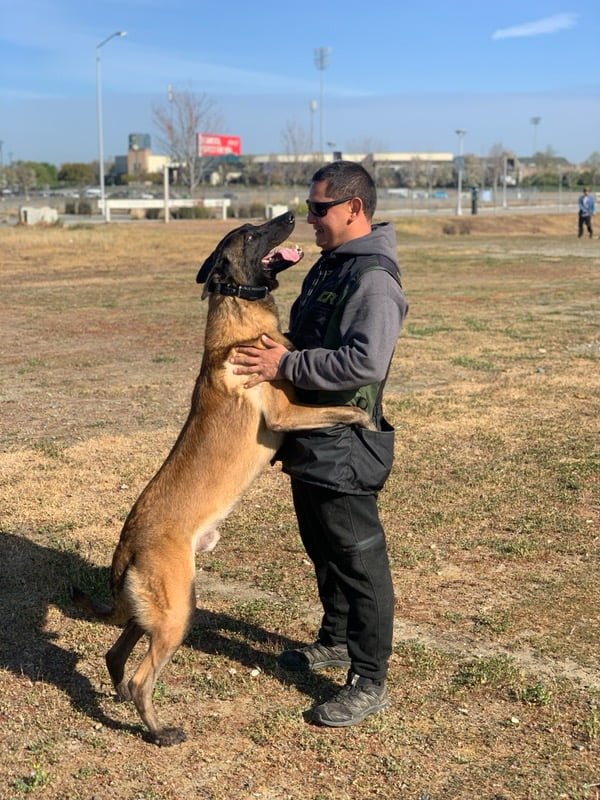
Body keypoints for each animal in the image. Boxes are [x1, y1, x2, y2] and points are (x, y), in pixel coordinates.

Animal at [72, 211, 372, 744]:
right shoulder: (286, 414)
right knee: (143, 676)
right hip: (176, 615)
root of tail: (126, 545)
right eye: (251, 233)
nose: (291, 214)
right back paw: (159, 731)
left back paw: (123, 699)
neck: (239, 320)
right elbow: (336, 409)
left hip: (161, 610)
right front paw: (364, 418)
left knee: (115, 652)